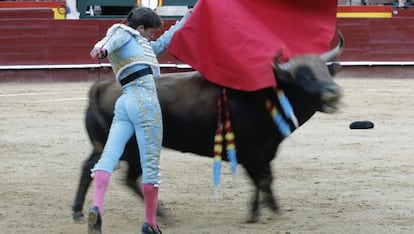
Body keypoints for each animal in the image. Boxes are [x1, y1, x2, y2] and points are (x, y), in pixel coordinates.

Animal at [73, 35, 344, 222]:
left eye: (325, 71)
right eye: (304, 75)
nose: (334, 94)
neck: (266, 96)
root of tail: (101, 88)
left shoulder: (264, 152)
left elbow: (267, 180)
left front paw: (271, 208)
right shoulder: (250, 153)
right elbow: (262, 180)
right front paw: (256, 213)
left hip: (105, 145)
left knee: (90, 168)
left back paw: (78, 211)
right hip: (133, 148)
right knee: (127, 178)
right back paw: (163, 215)